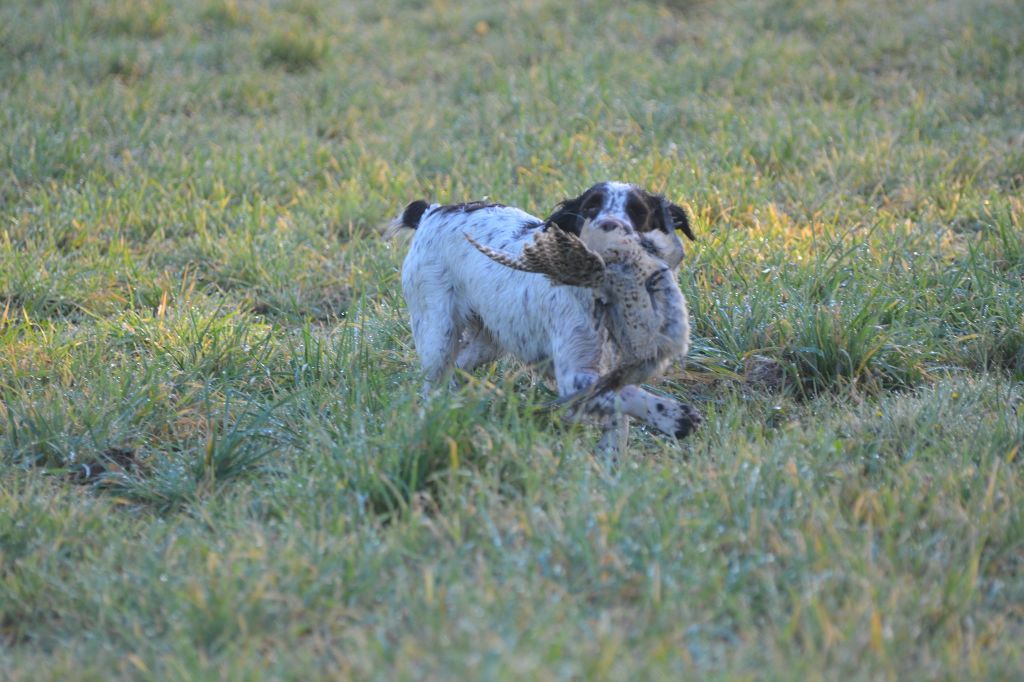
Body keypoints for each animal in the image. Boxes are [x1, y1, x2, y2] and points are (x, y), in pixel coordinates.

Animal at [387, 182, 700, 450]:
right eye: (590, 207)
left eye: (638, 212)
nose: (611, 227)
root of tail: (432, 211)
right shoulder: (574, 373)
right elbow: (620, 396)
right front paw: (673, 416)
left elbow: (617, 415)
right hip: (437, 332)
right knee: (434, 381)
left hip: (490, 339)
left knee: (459, 367)